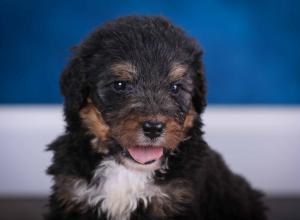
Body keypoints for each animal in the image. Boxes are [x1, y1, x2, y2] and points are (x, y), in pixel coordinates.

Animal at [46, 15, 268, 220]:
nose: (153, 127)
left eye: (175, 87)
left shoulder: (175, 198)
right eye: (120, 85)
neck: (128, 171)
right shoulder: (72, 193)